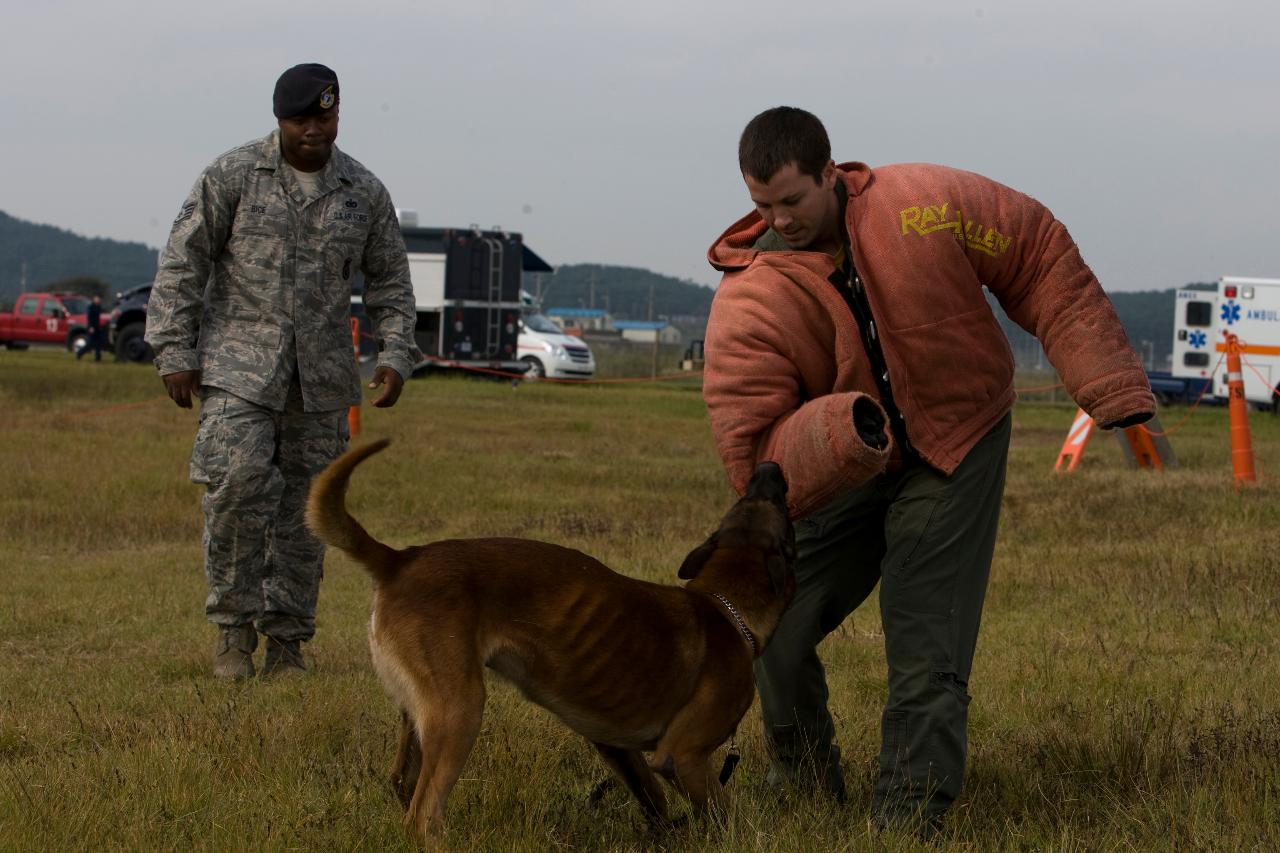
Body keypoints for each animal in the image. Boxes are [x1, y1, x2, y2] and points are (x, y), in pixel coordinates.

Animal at [304, 438, 793, 835]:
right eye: (786, 517)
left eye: (751, 496)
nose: (770, 466)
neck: (725, 606)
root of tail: (399, 559)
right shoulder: (685, 756)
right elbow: (725, 814)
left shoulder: (616, 745)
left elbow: (652, 798)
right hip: (460, 710)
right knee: (423, 815)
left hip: (419, 714)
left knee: (404, 785)